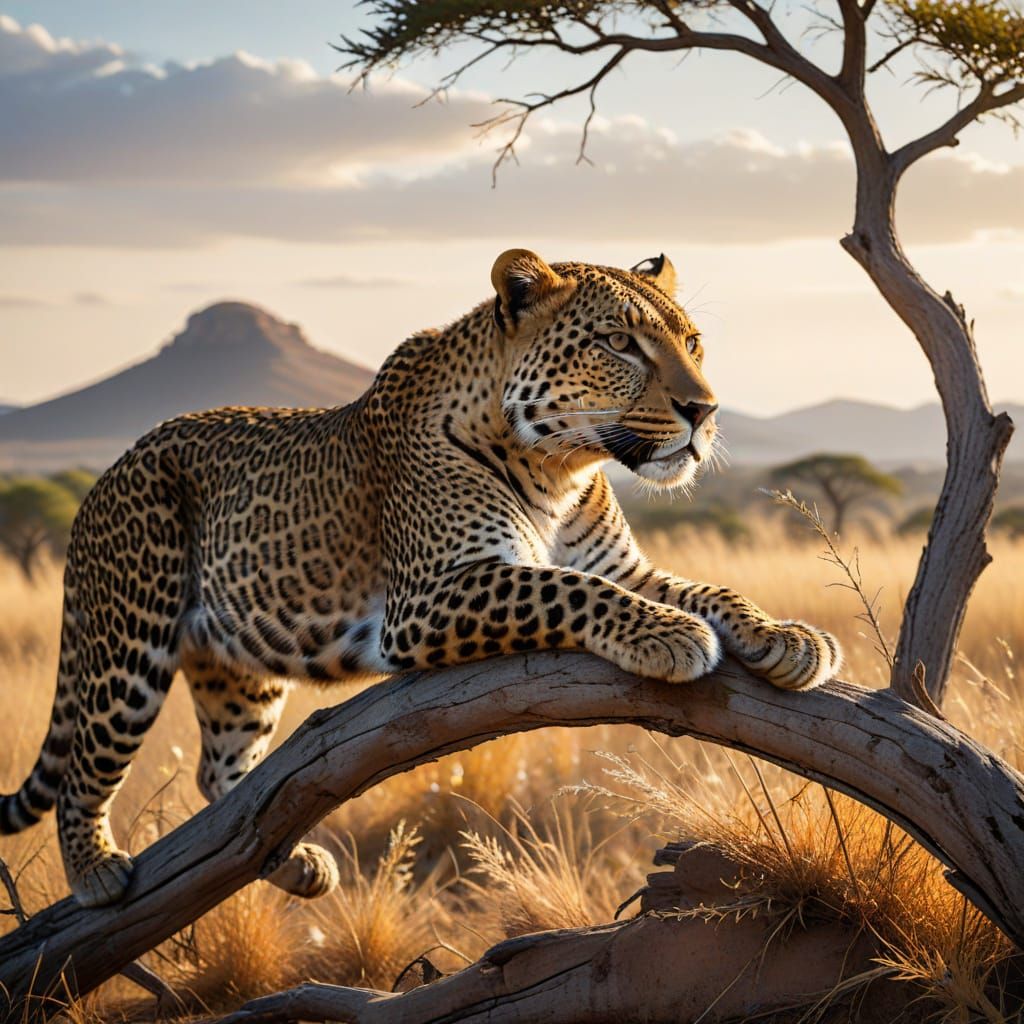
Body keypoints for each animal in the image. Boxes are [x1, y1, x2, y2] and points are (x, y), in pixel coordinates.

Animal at [0, 249, 841, 907]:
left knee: (220, 777)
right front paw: (667, 634)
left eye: (693, 342)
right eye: (618, 344)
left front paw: (787, 638)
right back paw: (96, 872)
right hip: (129, 640)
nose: (705, 410)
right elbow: (567, 589)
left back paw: (286, 859)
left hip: (238, 668)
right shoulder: (430, 597)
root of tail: (102, 479)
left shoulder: (624, 565)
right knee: (84, 766)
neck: (562, 468)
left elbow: (707, 589)